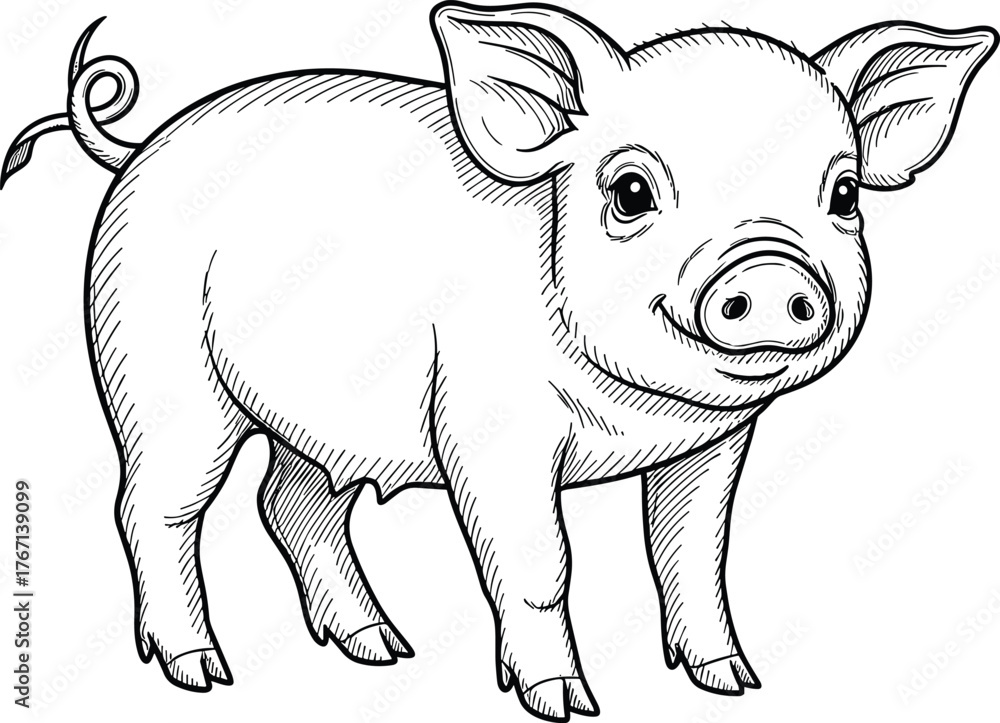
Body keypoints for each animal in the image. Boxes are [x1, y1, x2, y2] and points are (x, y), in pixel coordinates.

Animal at [3, 2, 995, 719]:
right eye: (630, 190)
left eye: (844, 192)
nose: (770, 269)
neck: (641, 411)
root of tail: (138, 147)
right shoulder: (487, 431)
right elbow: (541, 563)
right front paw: (568, 705)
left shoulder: (716, 445)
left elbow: (691, 552)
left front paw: (731, 681)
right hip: (160, 374)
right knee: (156, 508)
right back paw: (203, 673)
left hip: (317, 418)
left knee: (289, 505)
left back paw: (381, 648)